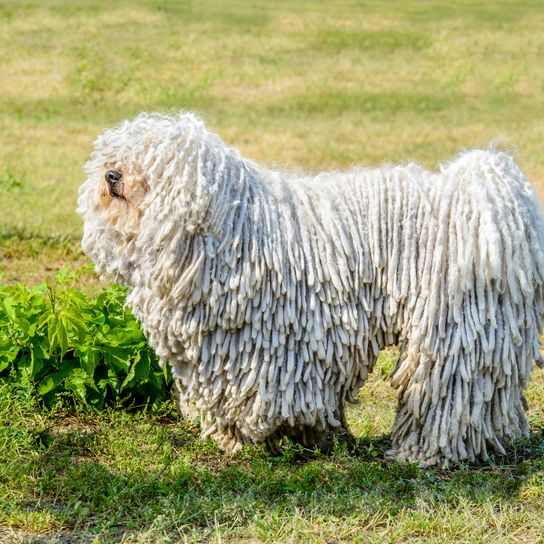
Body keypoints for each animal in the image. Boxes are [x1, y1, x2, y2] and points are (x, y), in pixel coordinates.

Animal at [76, 112, 544, 466]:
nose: (112, 174)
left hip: (453, 326)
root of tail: (481, 198)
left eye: (152, 163)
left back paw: (428, 453)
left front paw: (259, 439)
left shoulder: (268, 345)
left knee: (448, 392)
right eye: (116, 154)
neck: (226, 228)